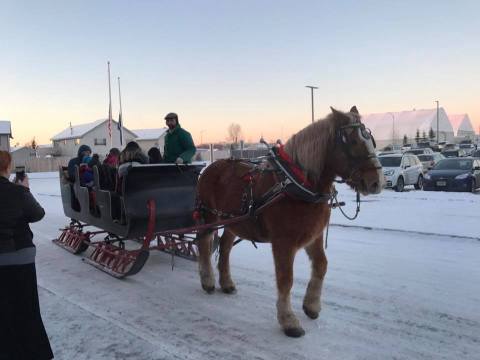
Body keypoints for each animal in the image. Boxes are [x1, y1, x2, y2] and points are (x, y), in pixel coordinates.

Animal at [194, 107, 382, 338]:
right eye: (353, 141)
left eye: (370, 140)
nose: (376, 182)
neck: (296, 183)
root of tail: (211, 166)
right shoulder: (283, 242)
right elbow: (286, 279)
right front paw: (289, 321)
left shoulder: (313, 235)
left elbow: (321, 265)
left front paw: (311, 305)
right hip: (209, 217)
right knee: (204, 243)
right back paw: (207, 280)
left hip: (233, 221)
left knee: (225, 246)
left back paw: (226, 282)